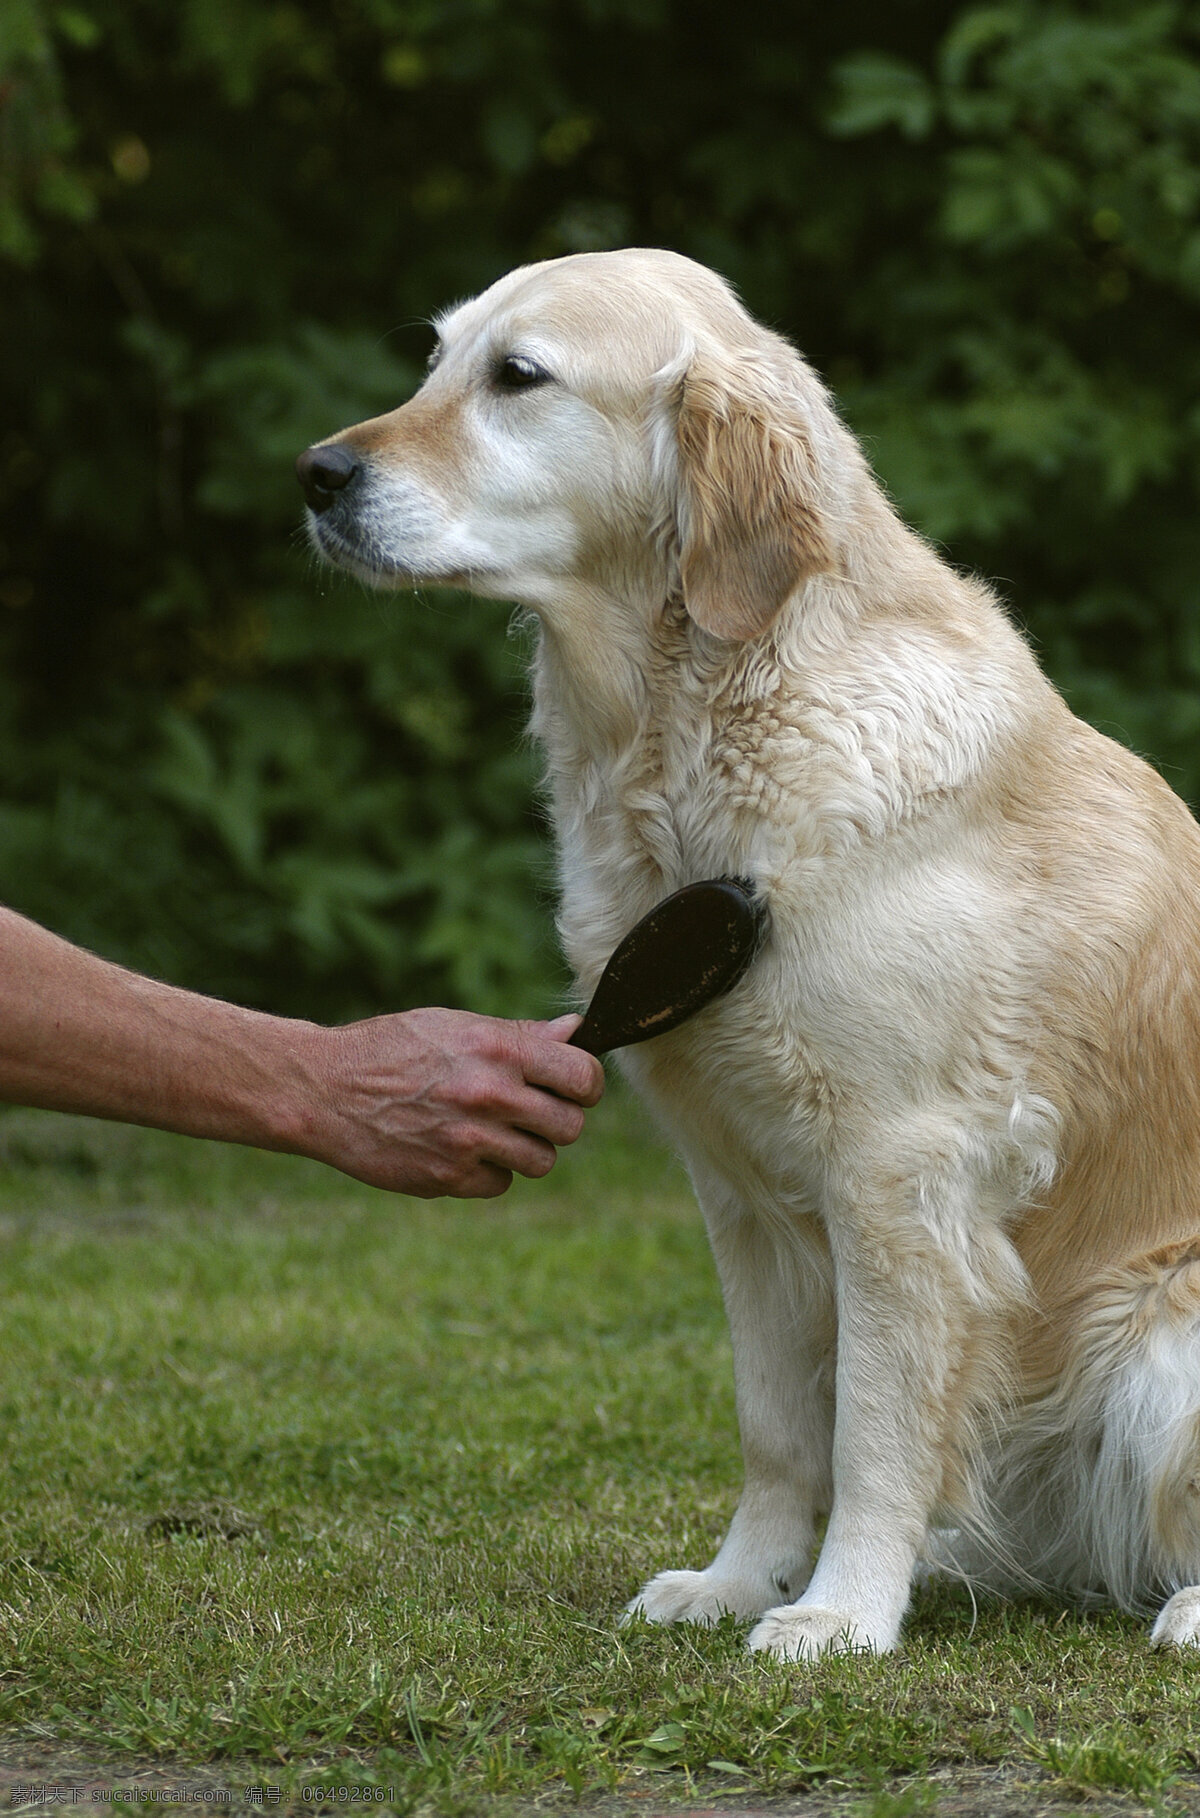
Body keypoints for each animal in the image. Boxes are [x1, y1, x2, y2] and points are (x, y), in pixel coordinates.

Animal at [301, 249, 1200, 1658]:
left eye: (519, 377)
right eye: (435, 360)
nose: (317, 474)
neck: (699, 732)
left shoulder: (899, 1171)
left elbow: (876, 1429)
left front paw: (838, 1614)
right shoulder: (737, 1188)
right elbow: (780, 1425)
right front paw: (739, 1583)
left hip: (1163, 1327)